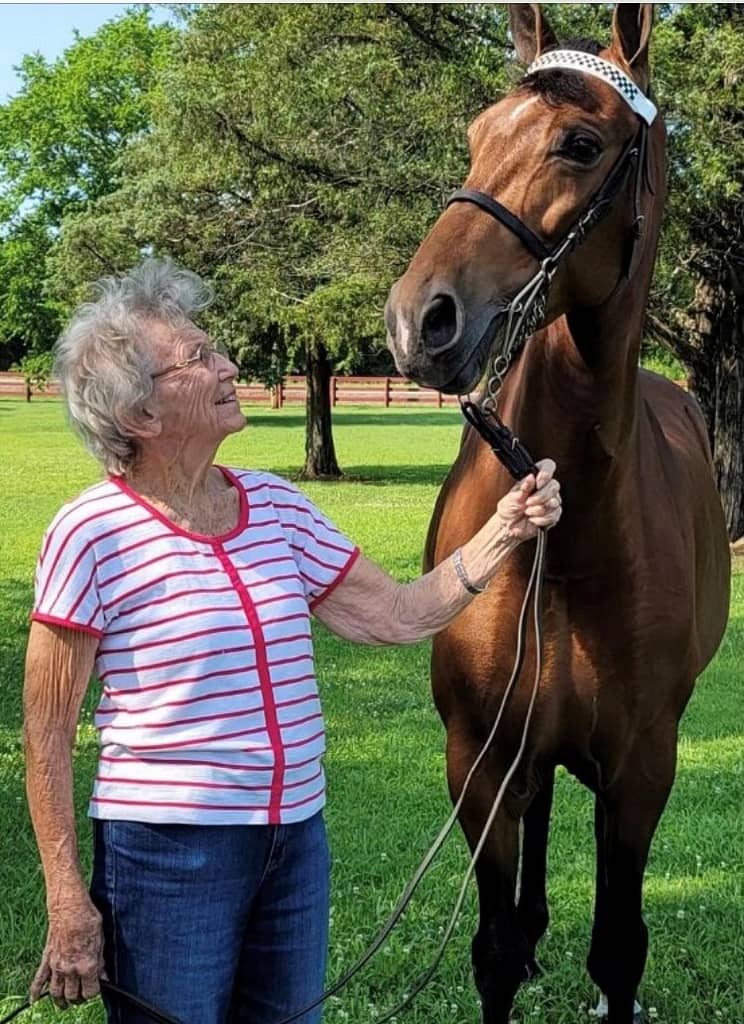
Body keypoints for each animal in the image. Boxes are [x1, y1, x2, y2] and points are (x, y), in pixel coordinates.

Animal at [386, 4, 728, 1019]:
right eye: (476, 135)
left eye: (580, 143)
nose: (420, 319)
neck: (576, 542)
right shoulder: (479, 760)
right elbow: (494, 951)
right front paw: (521, 945)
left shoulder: (644, 770)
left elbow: (619, 951)